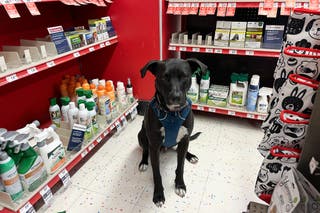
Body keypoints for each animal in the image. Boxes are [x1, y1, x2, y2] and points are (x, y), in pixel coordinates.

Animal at [138, 57, 208, 206]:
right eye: (164, 77)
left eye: (185, 77)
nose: (176, 97)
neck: (172, 114)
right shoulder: (154, 146)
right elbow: (157, 173)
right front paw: (158, 194)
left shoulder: (184, 139)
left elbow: (180, 167)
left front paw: (180, 185)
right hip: (141, 135)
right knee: (145, 150)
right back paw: (144, 163)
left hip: (183, 142)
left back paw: (191, 156)